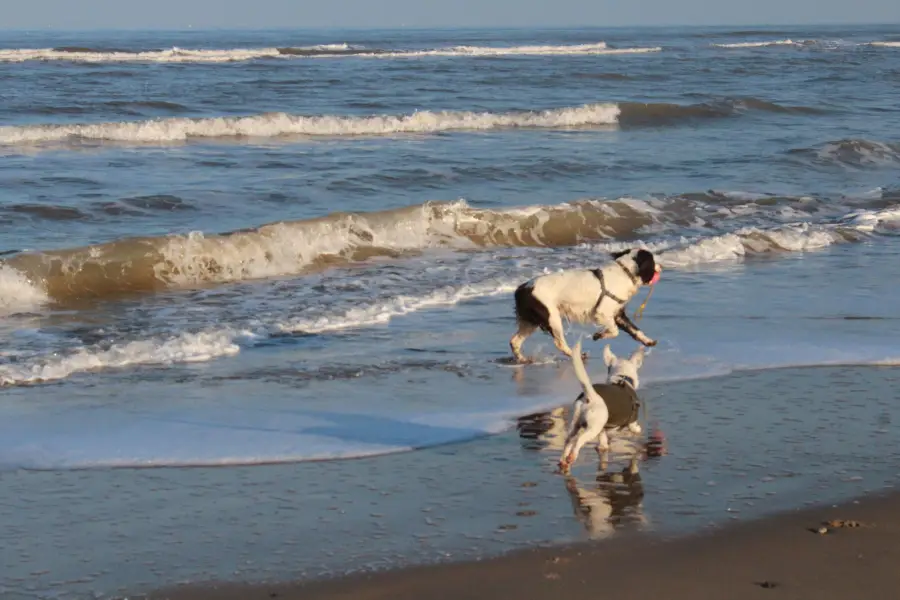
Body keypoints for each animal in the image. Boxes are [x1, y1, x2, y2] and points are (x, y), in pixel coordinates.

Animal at [510, 247, 656, 364]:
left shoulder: (617, 314)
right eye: (653, 262)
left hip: (531, 322)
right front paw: (599, 335)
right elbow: (615, 331)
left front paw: (648, 341)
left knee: (514, 341)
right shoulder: (602, 312)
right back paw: (578, 356)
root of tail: (521, 289)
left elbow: (635, 330)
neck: (625, 272)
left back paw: (522, 359)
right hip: (552, 318)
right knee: (559, 343)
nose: (659, 267)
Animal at [560, 340, 644, 472]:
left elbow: (603, 442)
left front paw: (603, 448)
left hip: (576, 423)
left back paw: (563, 460)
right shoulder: (632, 420)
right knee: (579, 440)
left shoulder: (603, 430)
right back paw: (572, 456)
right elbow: (634, 428)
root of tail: (591, 395)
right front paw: (638, 429)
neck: (621, 378)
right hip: (593, 427)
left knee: (568, 440)